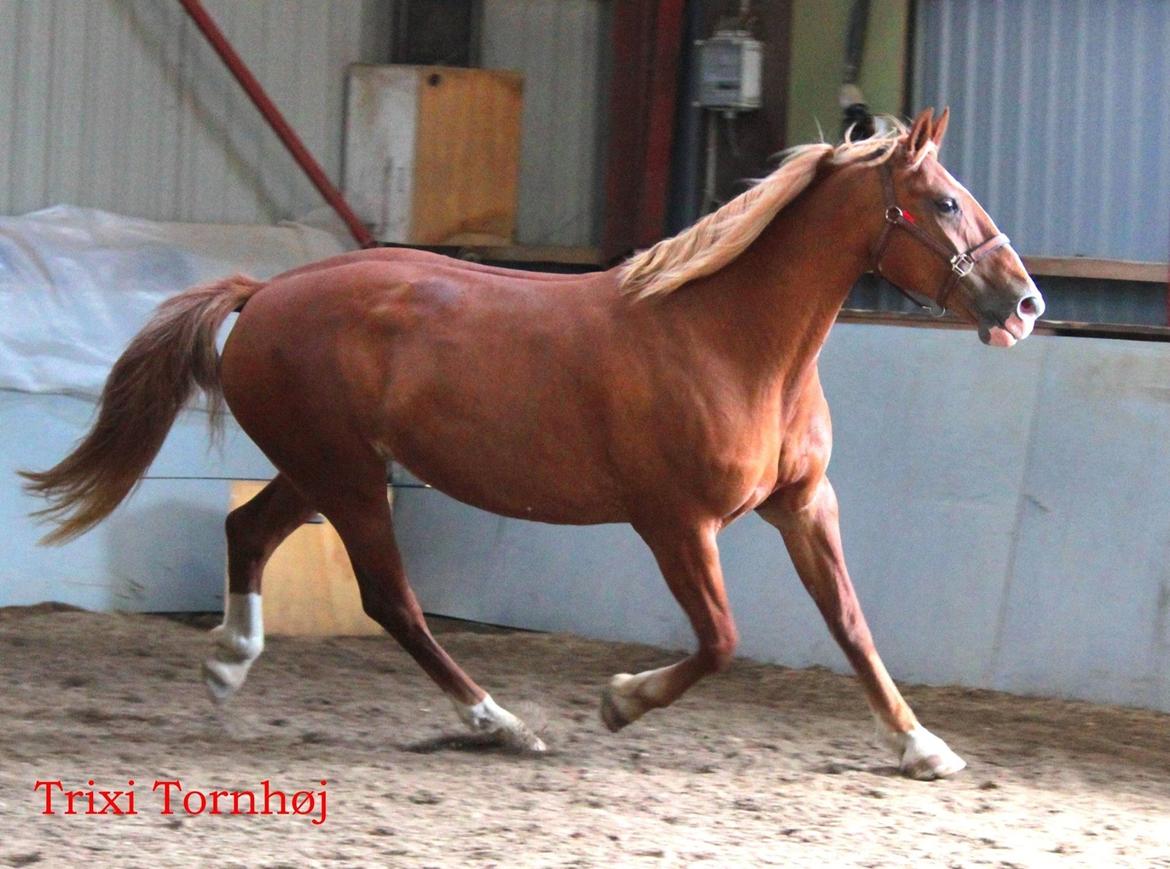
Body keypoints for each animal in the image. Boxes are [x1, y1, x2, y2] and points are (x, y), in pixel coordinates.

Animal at [20, 108, 1043, 781]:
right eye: (944, 203)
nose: (1027, 303)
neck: (731, 341)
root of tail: (263, 292)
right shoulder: (675, 522)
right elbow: (719, 639)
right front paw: (619, 700)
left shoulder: (802, 503)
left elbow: (852, 622)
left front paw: (922, 744)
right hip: (347, 479)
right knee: (392, 601)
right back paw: (500, 723)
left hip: (320, 469)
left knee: (249, 534)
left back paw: (229, 663)